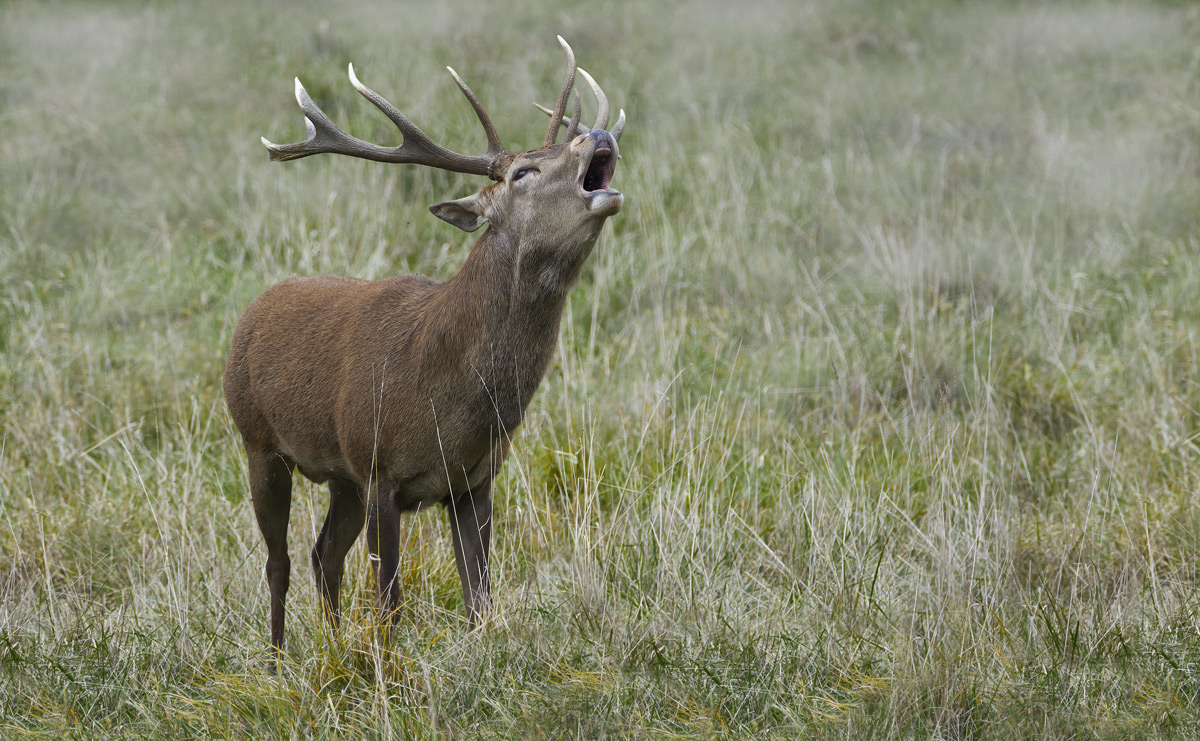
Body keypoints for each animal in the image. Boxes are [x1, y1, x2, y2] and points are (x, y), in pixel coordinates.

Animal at [223, 37, 625, 657]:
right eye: (524, 172)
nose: (597, 135)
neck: (443, 396)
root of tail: (251, 312)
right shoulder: (379, 468)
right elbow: (389, 604)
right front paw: (384, 667)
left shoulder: (473, 482)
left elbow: (481, 602)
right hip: (260, 442)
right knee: (279, 562)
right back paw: (277, 661)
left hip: (340, 477)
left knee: (323, 554)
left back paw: (332, 645)